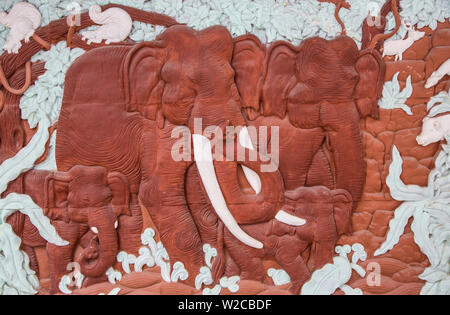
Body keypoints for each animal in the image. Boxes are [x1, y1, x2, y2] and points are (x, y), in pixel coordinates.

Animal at [213, 186, 354, 296]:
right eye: (313, 218)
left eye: (332, 214)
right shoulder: (287, 237)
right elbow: (284, 257)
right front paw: (290, 291)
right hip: (237, 239)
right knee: (253, 268)